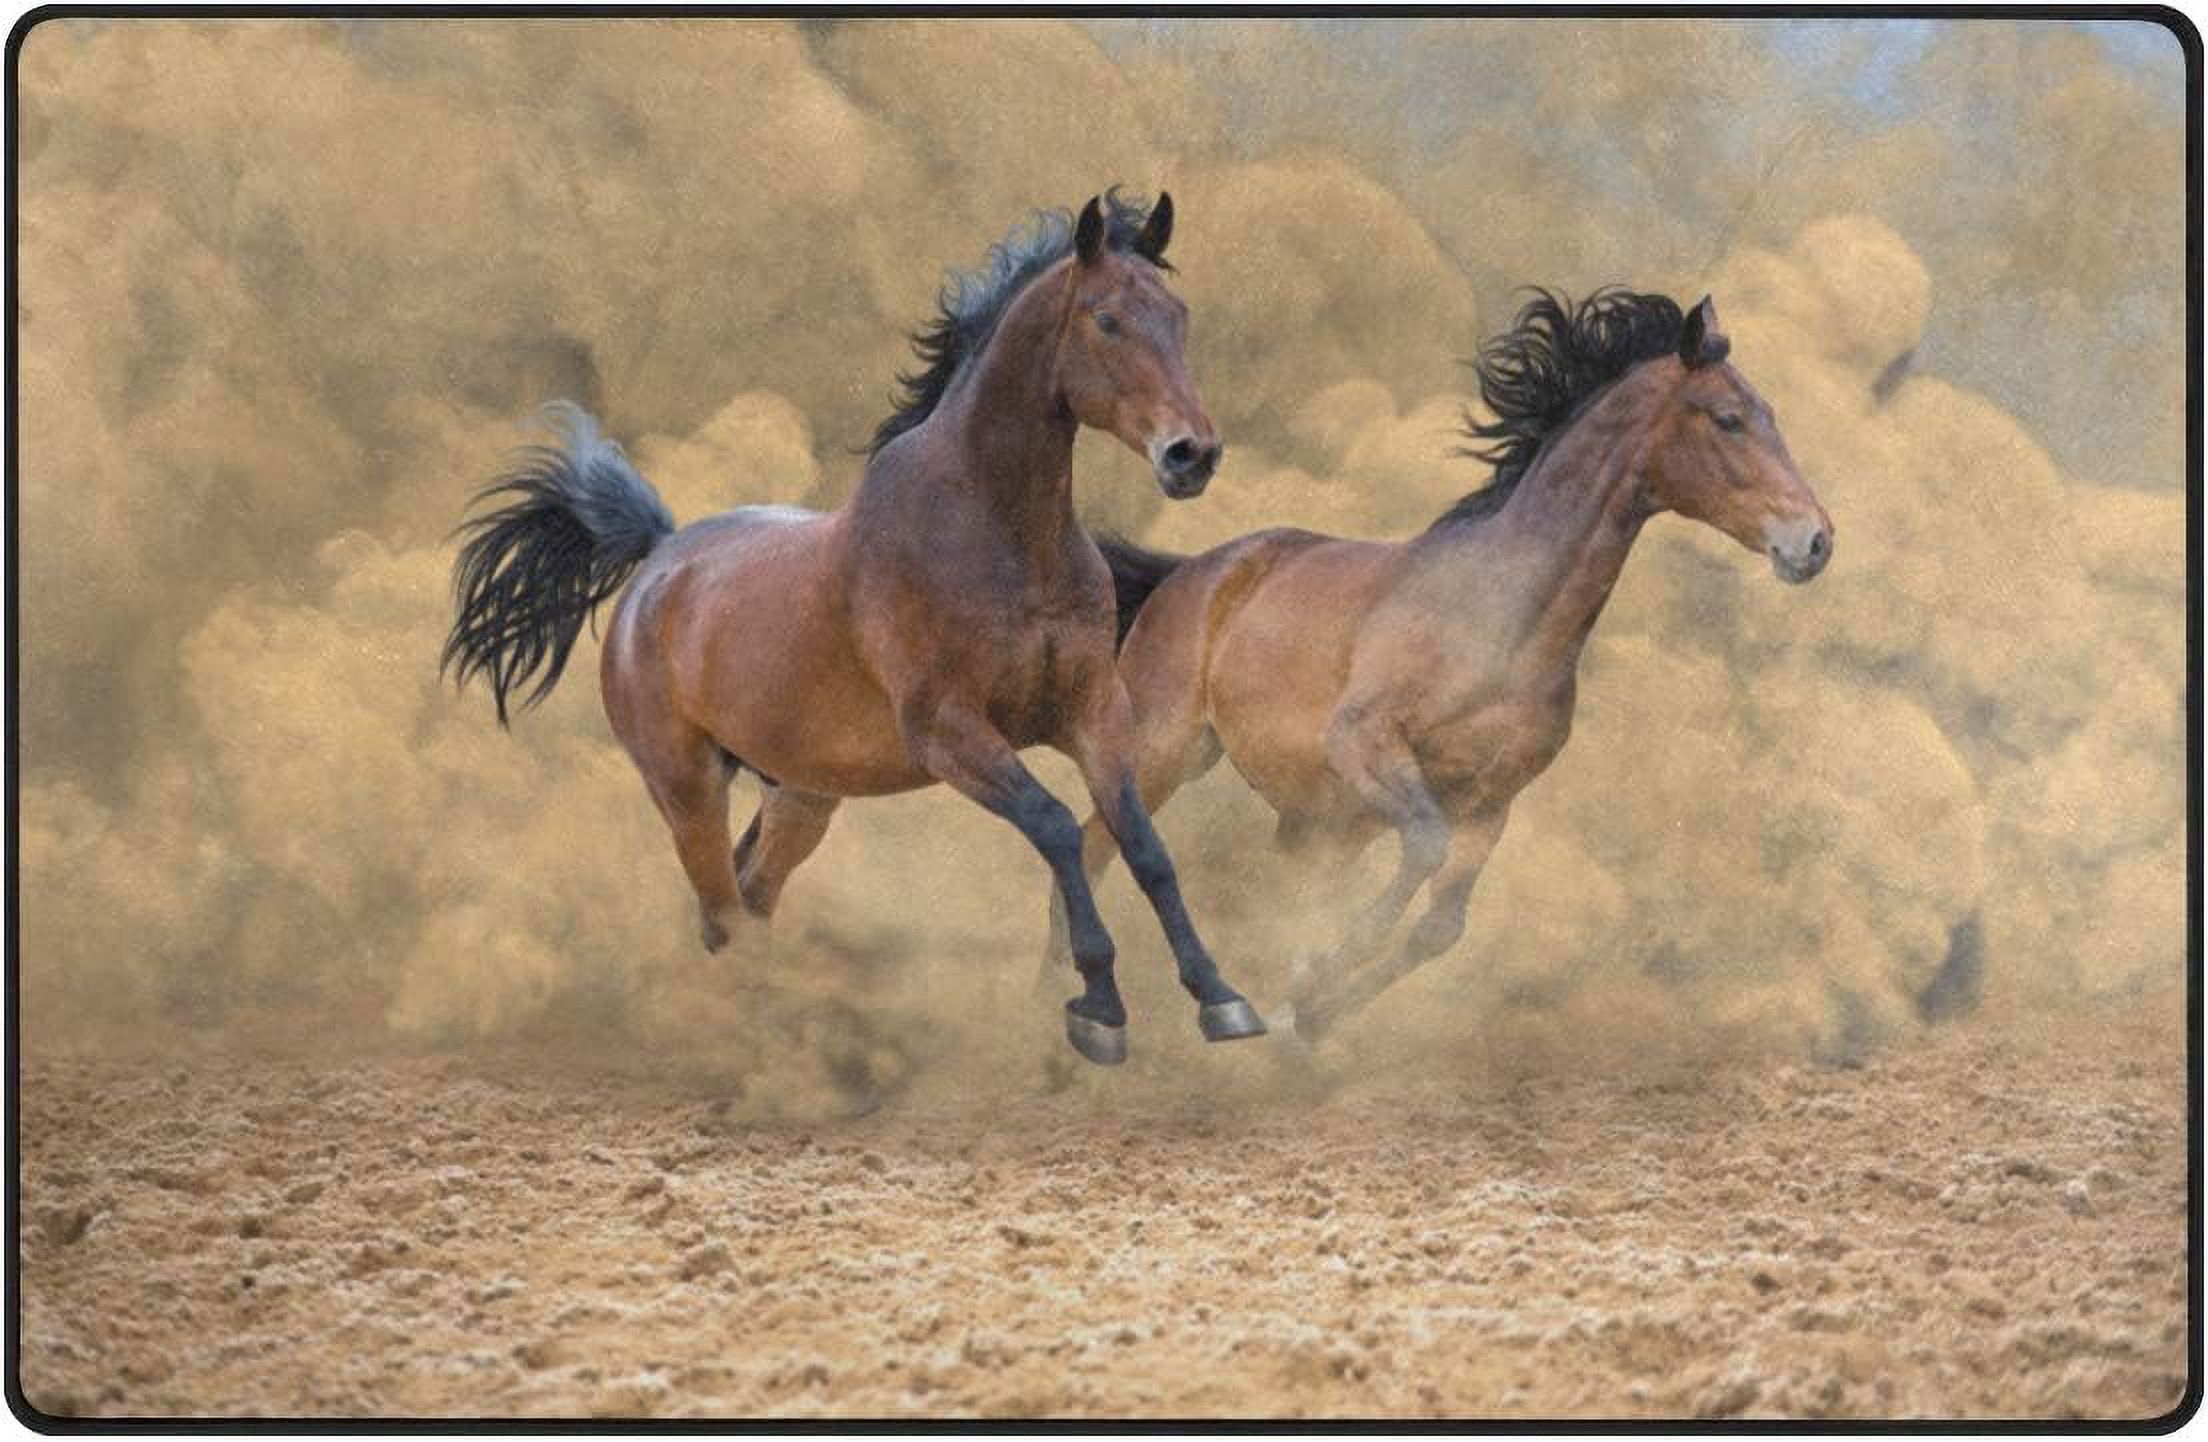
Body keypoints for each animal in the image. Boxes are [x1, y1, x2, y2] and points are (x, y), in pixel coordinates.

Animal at [443, 191, 1266, 1066]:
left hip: (803, 795)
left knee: (749, 899)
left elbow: (1142, 844)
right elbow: (1054, 827)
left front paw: (1220, 997)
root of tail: (659, 556)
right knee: (723, 912)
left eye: (1177, 315)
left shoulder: (1093, 714)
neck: (1001, 536)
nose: (1192, 455)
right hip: (686, 785)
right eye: (1106, 319)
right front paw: (1098, 1007)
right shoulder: (949, 733)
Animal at [1054, 290, 1834, 1044]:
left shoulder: (1491, 802)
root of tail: (1194, 572)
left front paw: (1314, 1008)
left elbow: (1440, 925)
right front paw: (1316, 980)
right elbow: (1421, 853)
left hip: (1317, 823)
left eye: (1768, 413)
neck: (1501, 622)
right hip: (1166, 754)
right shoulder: (1365, 746)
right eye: (1731, 419)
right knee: (1094, 848)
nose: (1816, 541)